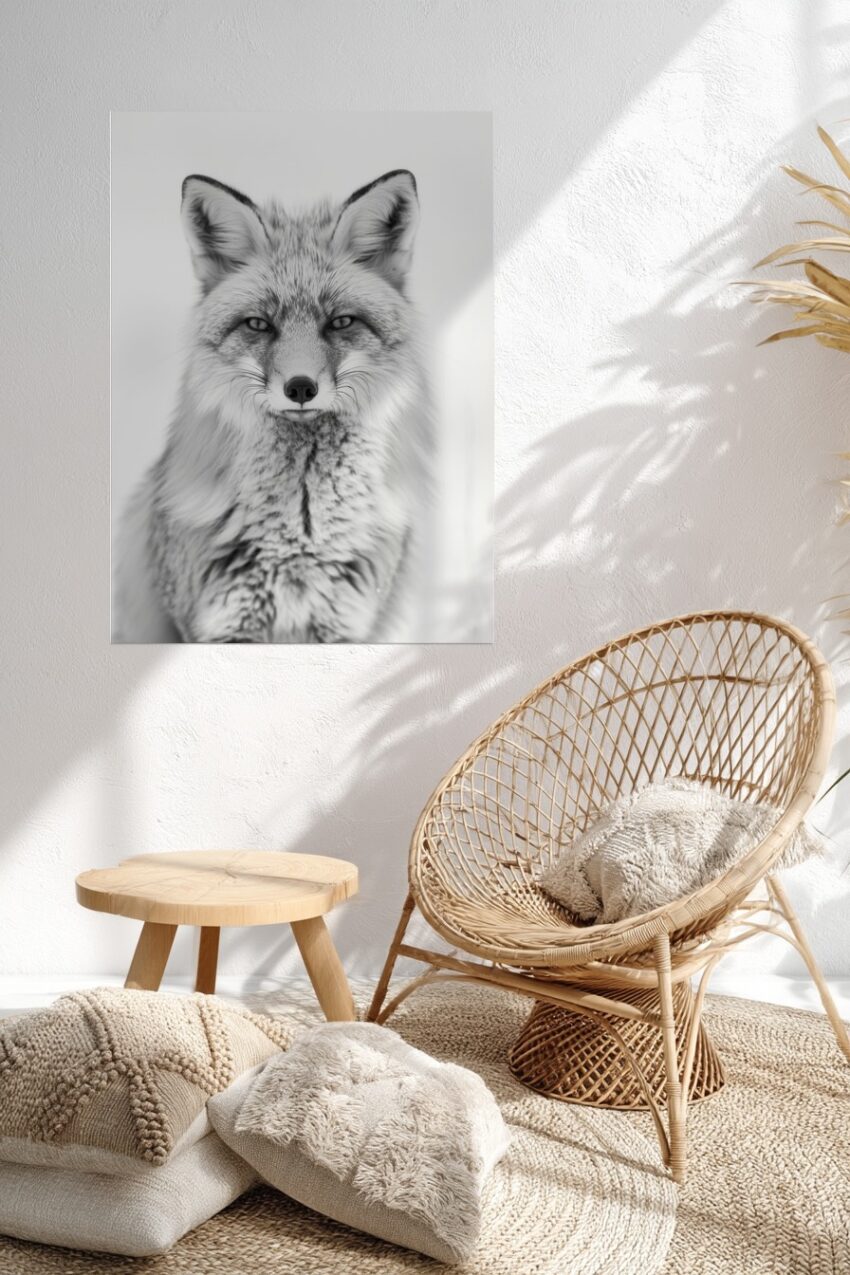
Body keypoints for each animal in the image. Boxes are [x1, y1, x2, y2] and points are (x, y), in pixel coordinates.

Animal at [113, 169, 433, 643]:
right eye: (259, 325)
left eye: (340, 322)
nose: (300, 388)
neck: (302, 533)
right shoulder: (221, 621)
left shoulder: (343, 623)